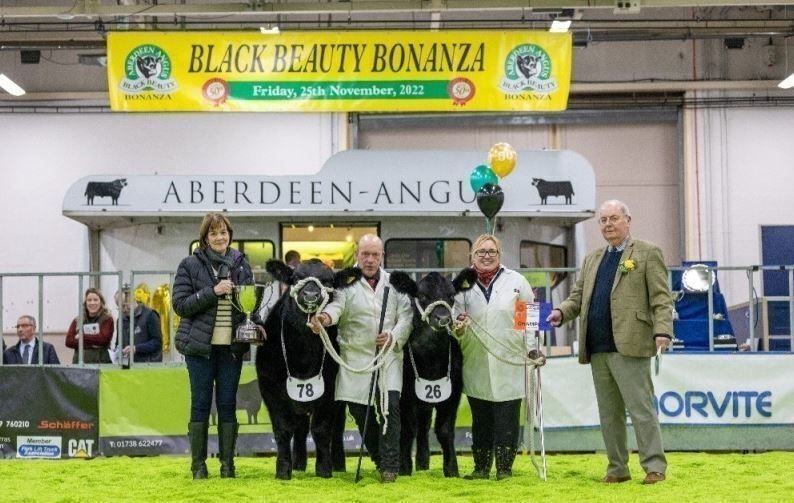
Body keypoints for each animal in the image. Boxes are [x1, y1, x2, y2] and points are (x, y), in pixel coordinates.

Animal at [255, 260, 360, 480]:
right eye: (296, 278)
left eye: (328, 281)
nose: (311, 295)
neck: (302, 356)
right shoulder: (271, 389)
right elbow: (283, 429)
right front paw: (283, 470)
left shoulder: (330, 391)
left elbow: (322, 429)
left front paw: (324, 469)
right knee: (301, 427)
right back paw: (298, 463)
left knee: (337, 428)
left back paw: (338, 463)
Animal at [386, 270, 474, 478]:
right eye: (423, 296)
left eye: (451, 296)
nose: (443, 319)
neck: (431, 356)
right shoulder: (406, 394)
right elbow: (407, 429)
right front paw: (404, 468)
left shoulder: (453, 392)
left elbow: (444, 430)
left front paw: (452, 470)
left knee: (424, 426)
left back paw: (423, 462)